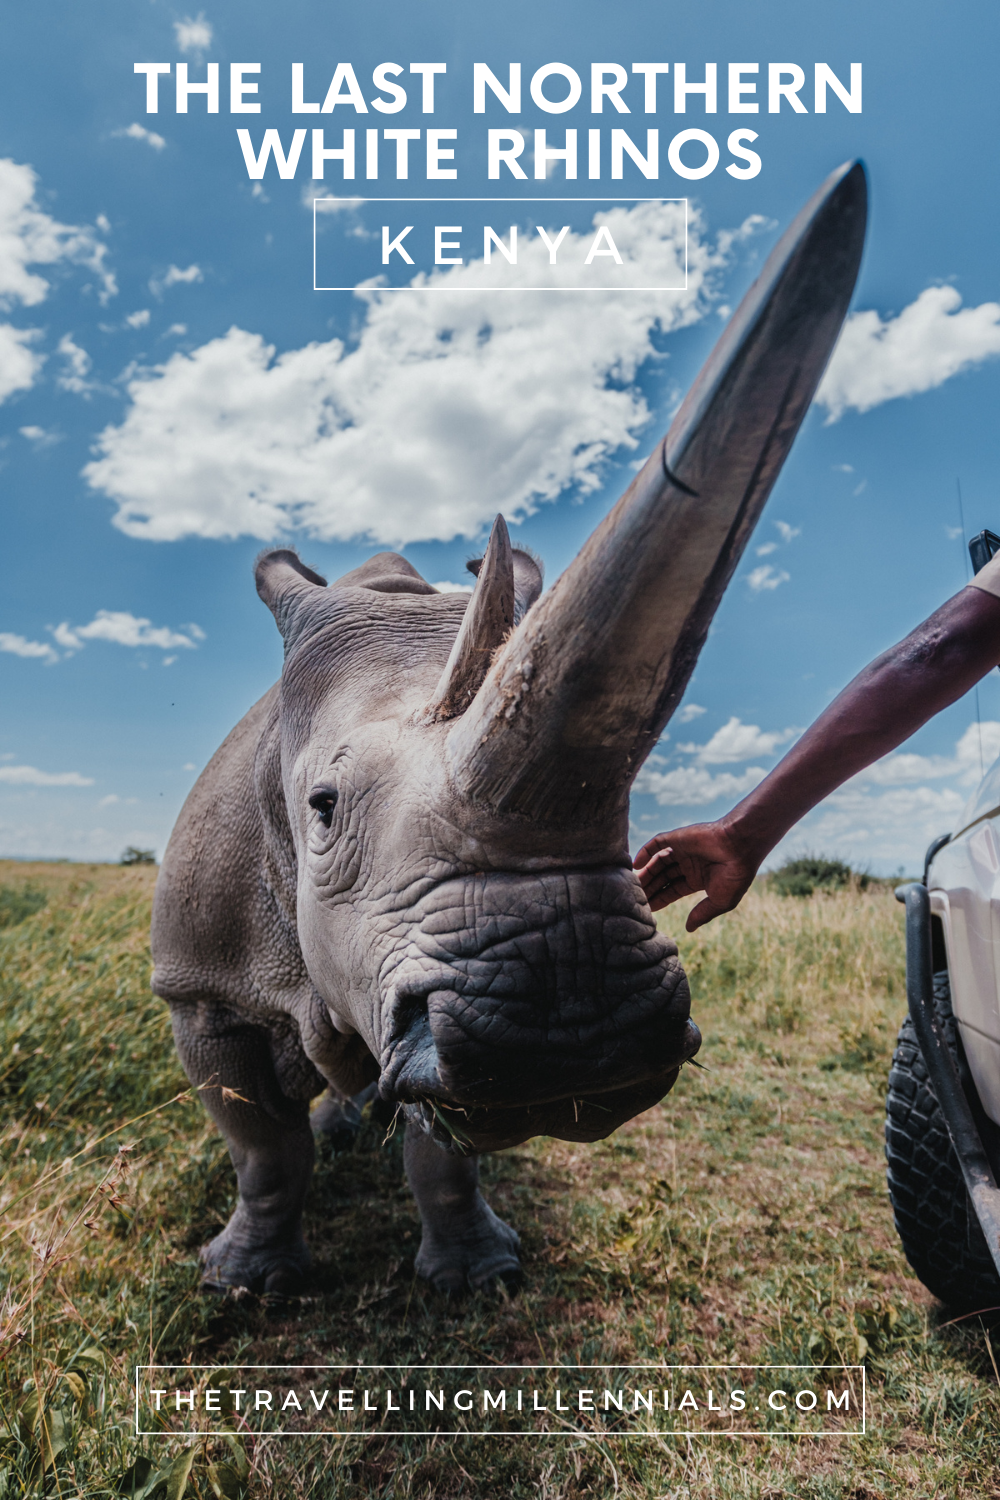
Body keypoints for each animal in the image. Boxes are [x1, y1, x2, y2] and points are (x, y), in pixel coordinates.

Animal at [150, 161, 869, 1290]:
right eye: (322, 808)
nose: (573, 1034)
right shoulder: (198, 982)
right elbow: (258, 1143)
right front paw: (244, 1282)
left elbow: (440, 1144)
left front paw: (477, 1275)